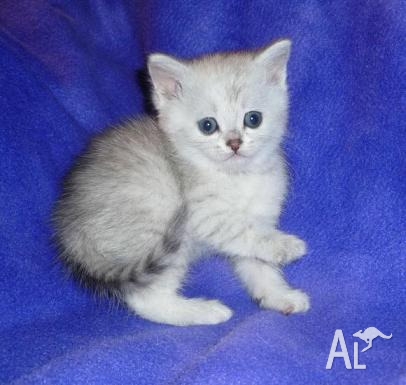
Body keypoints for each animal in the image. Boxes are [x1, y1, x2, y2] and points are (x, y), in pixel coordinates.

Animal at [52, 39, 310, 324]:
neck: (237, 177)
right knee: (148, 301)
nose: (234, 143)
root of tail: (72, 236)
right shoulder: (204, 214)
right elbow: (243, 231)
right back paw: (205, 311)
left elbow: (258, 263)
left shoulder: (260, 217)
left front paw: (279, 295)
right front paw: (285, 245)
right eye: (208, 125)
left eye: (253, 119)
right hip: (162, 223)